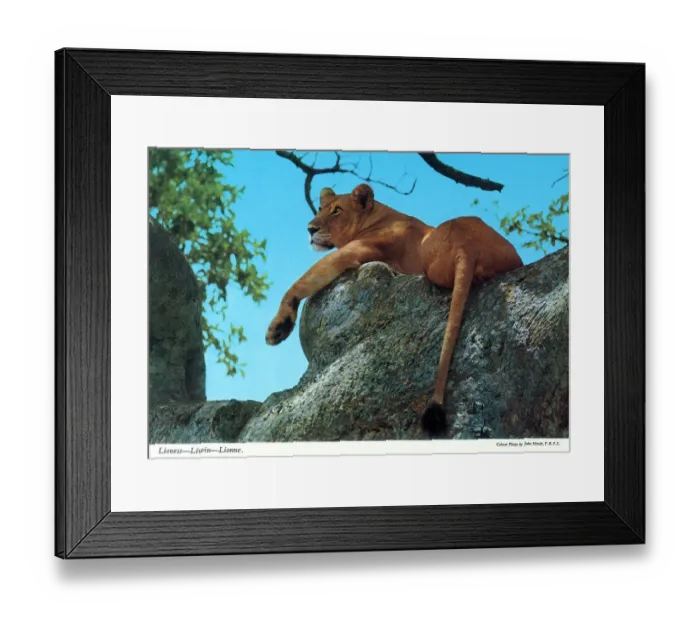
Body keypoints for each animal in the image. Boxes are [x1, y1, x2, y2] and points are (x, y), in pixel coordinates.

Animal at [265, 183, 524, 437]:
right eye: (319, 208)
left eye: (336, 211)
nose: (310, 229)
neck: (377, 215)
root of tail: (466, 248)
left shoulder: (352, 252)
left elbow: (301, 281)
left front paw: (279, 327)